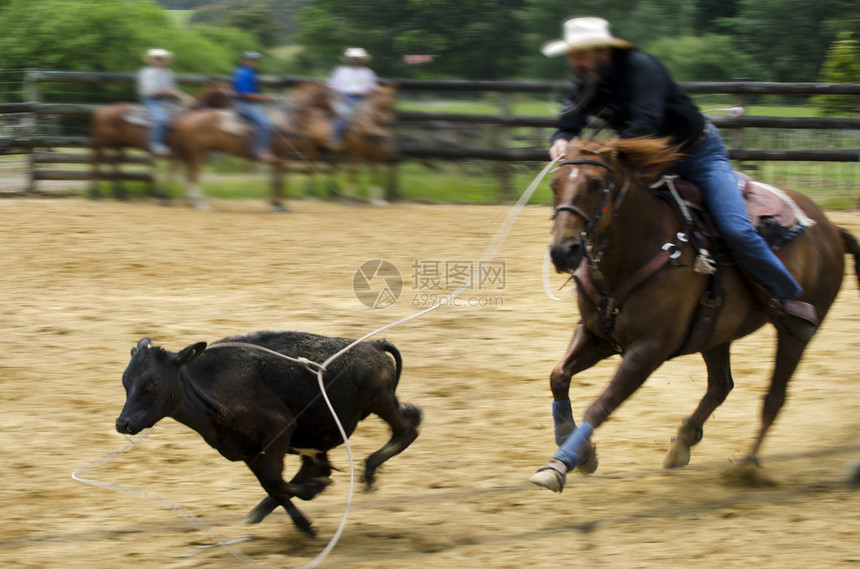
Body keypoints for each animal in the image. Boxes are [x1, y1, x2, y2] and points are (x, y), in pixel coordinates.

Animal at [90, 81, 232, 199]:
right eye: (224, 96)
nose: (230, 114)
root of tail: (101, 111)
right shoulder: (178, 152)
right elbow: (174, 172)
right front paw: (165, 196)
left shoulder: (186, 153)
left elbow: (185, 174)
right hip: (103, 143)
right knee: (97, 161)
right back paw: (95, 193)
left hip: (118, 145)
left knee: (114, 163)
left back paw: (121, 193)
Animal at [170, 80, 336, 211]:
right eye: (329, 95)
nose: (334, 113)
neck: (289, 121)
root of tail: (189, 116)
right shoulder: (281, 157)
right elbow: (279, 180)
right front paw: (279, 206)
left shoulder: (277, 159)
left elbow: (275, 180)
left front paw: (275, 204)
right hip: (198, 152)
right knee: (194, 175)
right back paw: (199, 204)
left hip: (196, 153)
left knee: (190, 175)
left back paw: (193, 201)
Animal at [528, 136, 856, 492]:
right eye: (555, 184)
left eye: (595, 183)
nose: (563, 251)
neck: (638, 248)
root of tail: (831, 228)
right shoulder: (596, 334)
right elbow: (559, 376)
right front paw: (580, 450)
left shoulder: (648, 350)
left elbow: (601, 405)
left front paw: (561, 463)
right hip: (716, 334)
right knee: (721, 385)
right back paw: (684, 441)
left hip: (795, 334)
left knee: (774, 397)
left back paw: (747, 466)